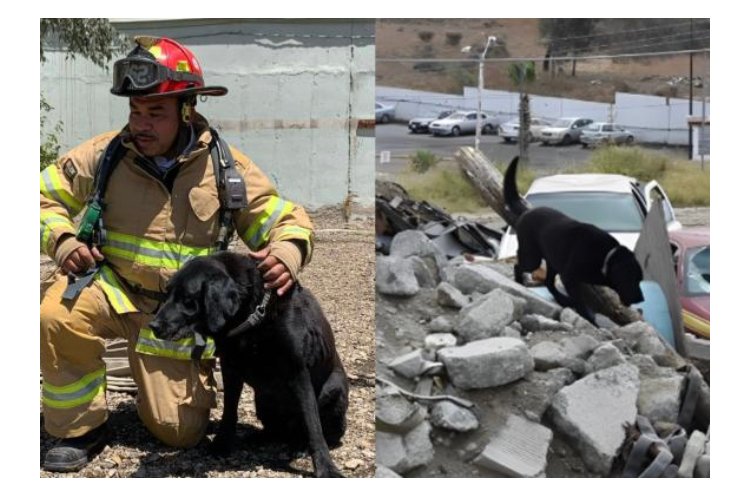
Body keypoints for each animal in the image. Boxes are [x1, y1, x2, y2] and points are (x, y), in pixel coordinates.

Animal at [153, 252, 352, 474]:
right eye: (166, 293)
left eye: (187, 299)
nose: (153, 325)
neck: (253, 315)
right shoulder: (231, 368)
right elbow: (229, 411)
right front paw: (221, 445)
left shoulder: (298, 372)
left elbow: (312, 423)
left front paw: (326, 468)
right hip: (262, 400)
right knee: (274, 431)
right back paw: (256, 437)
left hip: (334, 390)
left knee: (322, 432)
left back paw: (300, 446)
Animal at [502, 155, 644, 322]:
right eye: (631, 278)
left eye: (640, 279)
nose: (641, 299)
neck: (605, 257)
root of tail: (527, 211)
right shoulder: (569, 277)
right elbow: (581, 302)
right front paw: (589, 318)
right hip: (533, 258)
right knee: (518, 266)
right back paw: (519, 283)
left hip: (553, 261)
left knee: (549, 283)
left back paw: (563, 299)